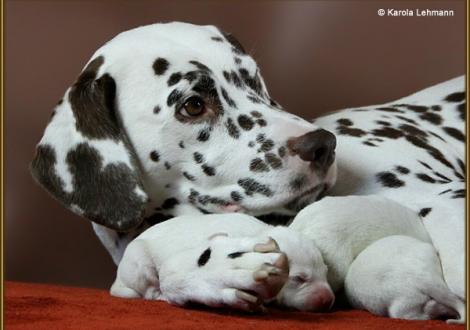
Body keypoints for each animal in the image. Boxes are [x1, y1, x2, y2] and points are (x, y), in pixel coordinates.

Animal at [110, 214, 334, 312]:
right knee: (150, 292)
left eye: (326, 272)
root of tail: (117, 280)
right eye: (299, 278)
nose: (330, 300)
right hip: (139, 262)